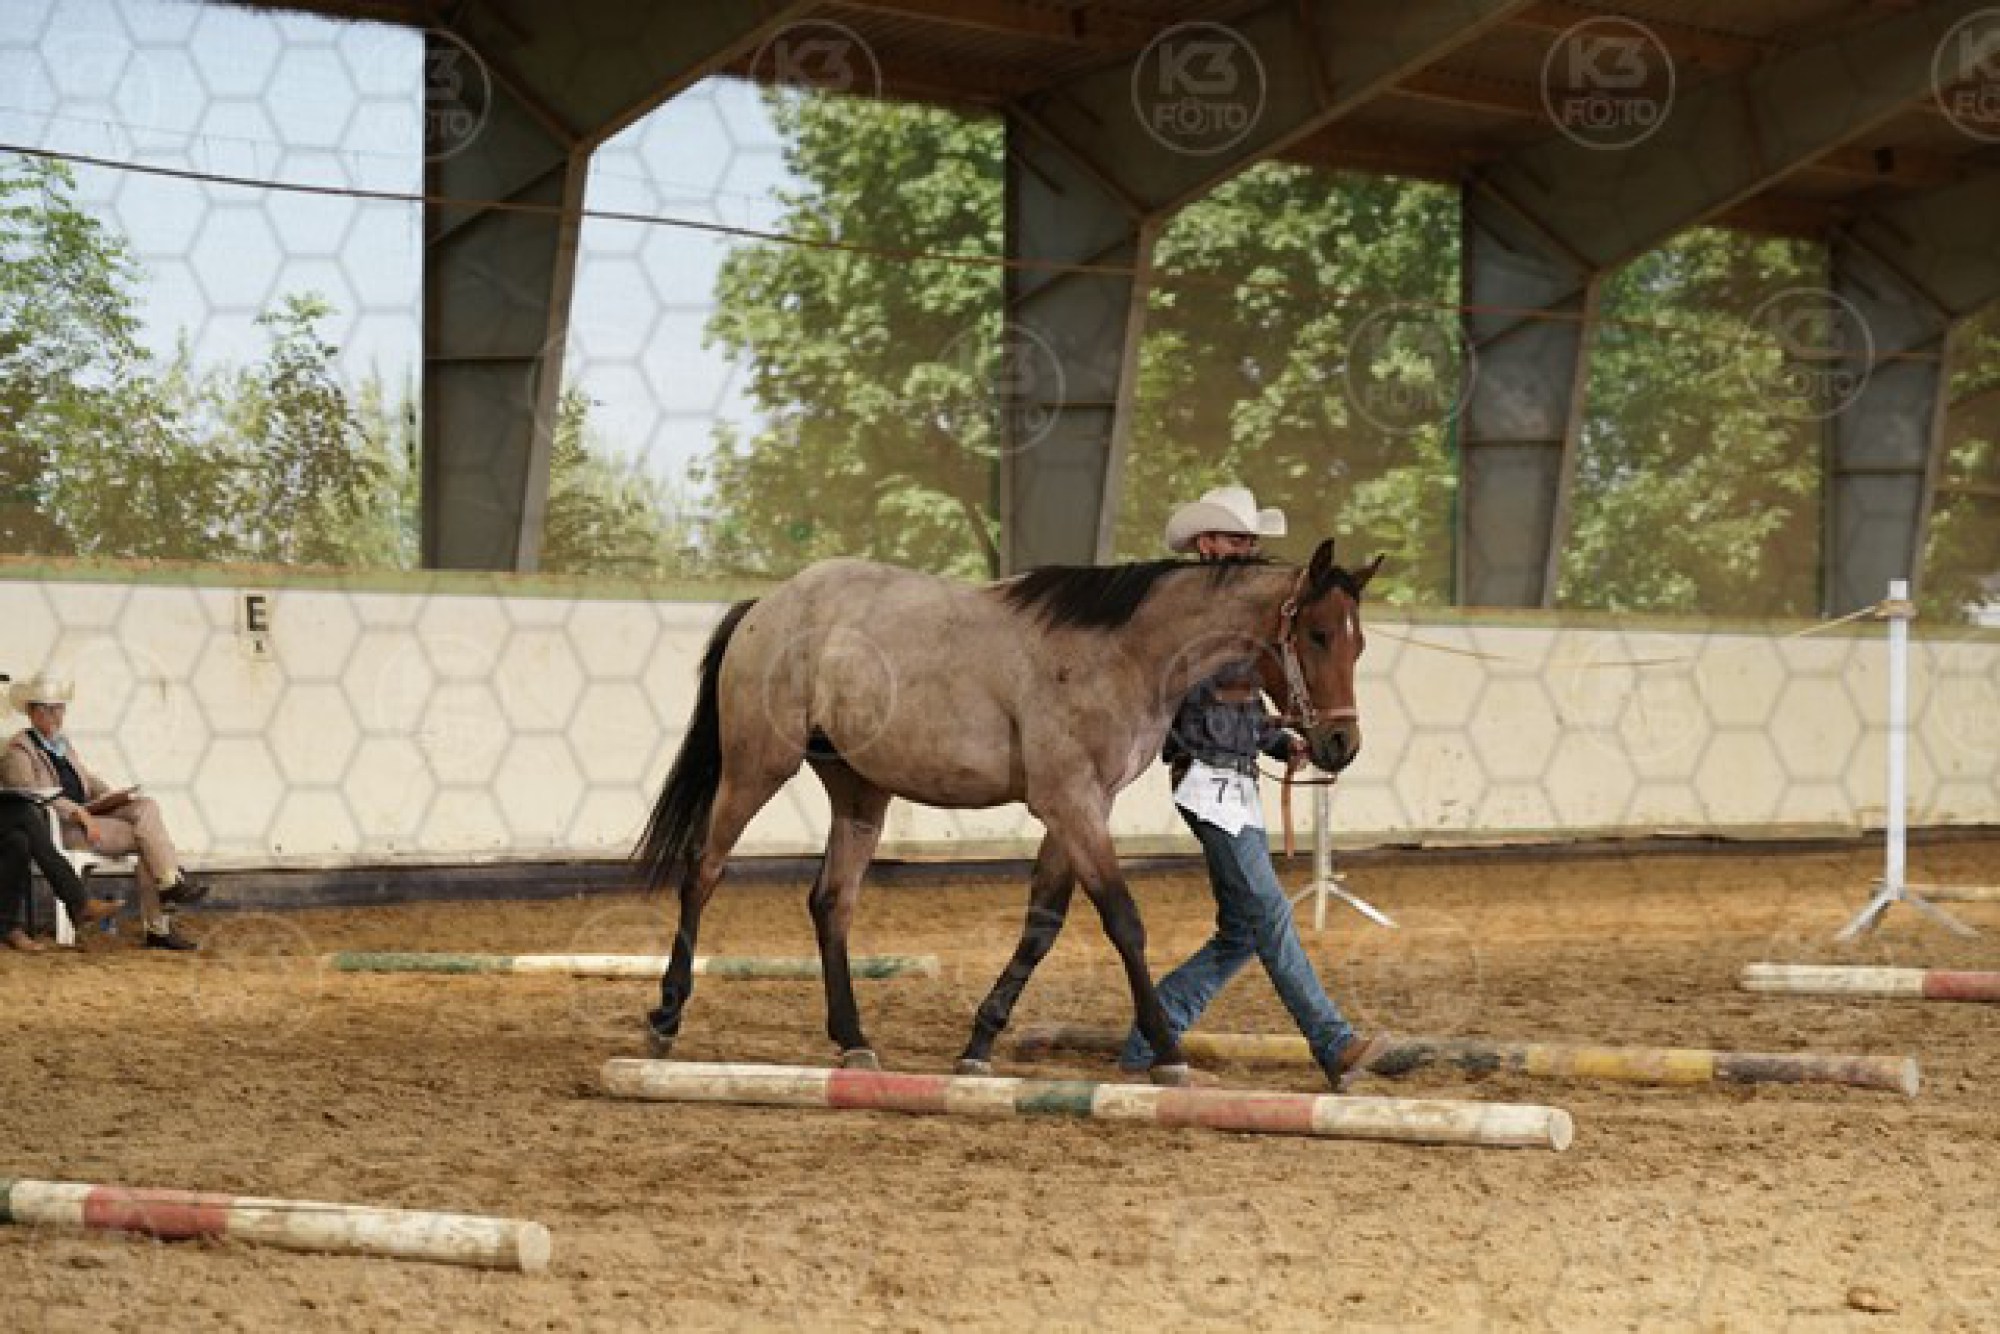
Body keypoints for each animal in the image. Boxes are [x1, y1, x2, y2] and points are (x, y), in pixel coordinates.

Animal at [635, 538, 1381, 1083]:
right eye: (1317, 633)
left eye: (1359, 642)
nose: (1339, 745)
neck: (1121, 651)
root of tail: (771, 603)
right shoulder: (1072, 802)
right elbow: (1124, 921)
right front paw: (1168, 1053)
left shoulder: (1079, 808)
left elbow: (1042, 926)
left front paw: (979, 1043)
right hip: (757, 767)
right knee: (703, 874)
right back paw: (666, 1017)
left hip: (859, 790)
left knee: (830, 903)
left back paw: (852, 1039)